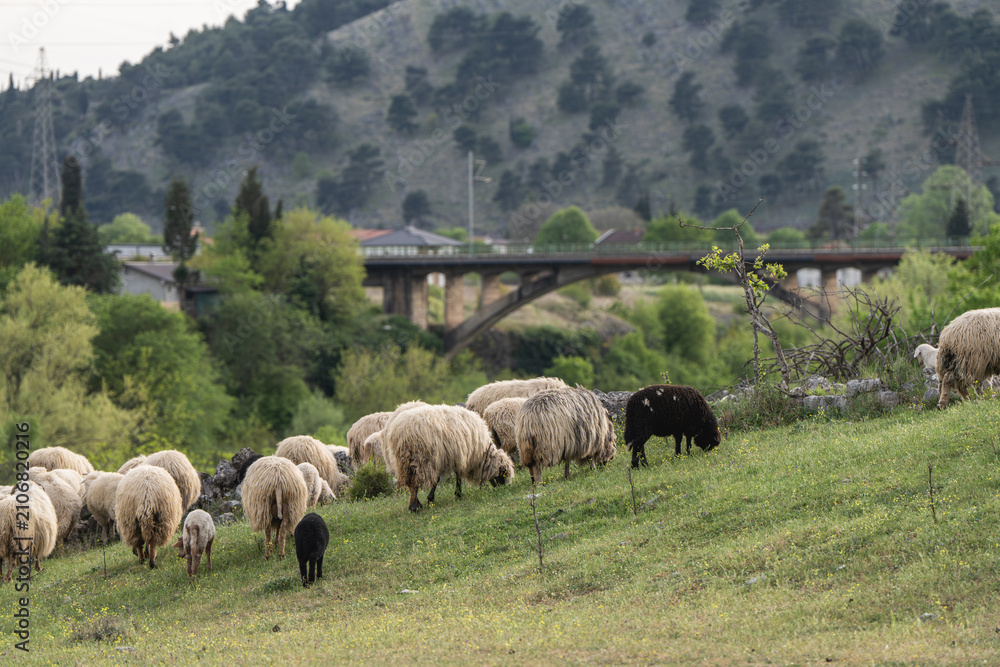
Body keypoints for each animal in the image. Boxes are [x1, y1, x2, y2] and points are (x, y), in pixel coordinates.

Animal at [383, 404, 515, 512]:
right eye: (503, 473)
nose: (502, 489)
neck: (481, 454)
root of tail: (401, 432)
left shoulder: (451, 457)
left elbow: (448, 477)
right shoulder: (457, 456)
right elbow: (452, 477)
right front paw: (454, 495)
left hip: (402, 460)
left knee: (408, 482)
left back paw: (416, 504)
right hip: (422, 458)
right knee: (414, 482)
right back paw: (413, 507)